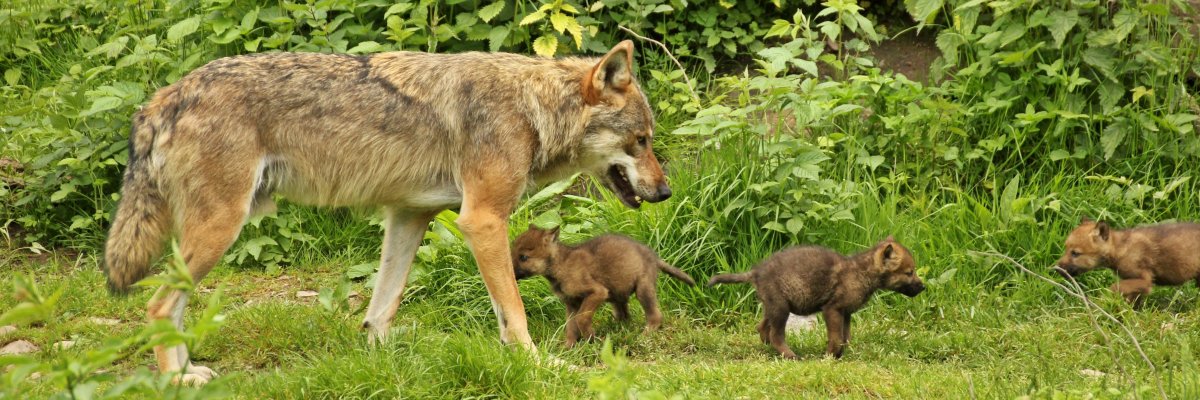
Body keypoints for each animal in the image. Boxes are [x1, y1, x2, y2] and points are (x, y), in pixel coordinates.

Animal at [102, 40, 667, 384]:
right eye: (640, 141)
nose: (663, 191)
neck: (534, 108)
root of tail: (164, 96)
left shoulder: (409, 215)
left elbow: (382, 308)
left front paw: (378, 363)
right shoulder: (483, 220)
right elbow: (515, 312)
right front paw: (539, 365)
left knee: (171, 308)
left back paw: (188, 373)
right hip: (220, 229)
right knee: (158, 307)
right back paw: (174, 380)